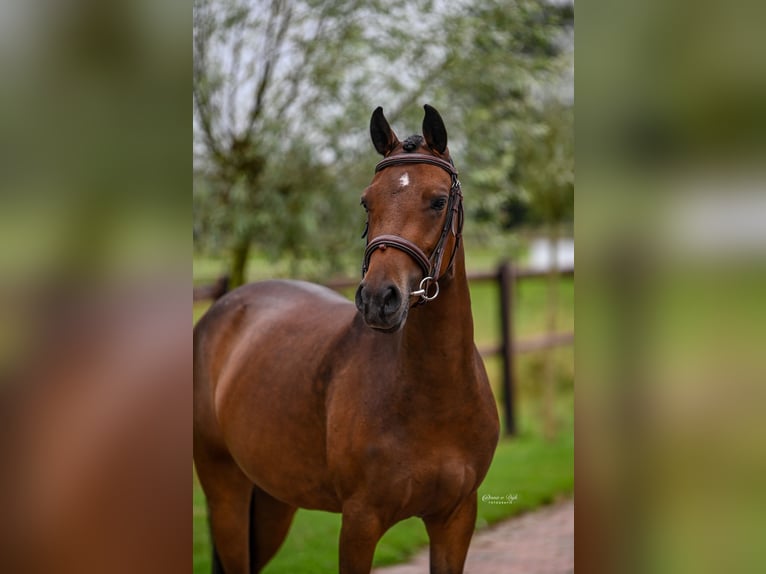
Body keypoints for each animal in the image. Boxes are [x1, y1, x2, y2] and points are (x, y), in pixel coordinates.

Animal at [195, 106, 500, 572]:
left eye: (438, 201)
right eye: (366, 201)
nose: (378, 299)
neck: (435, 396)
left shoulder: (457, 518)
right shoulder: (360, 523)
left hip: (271, 503)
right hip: (226, 493)